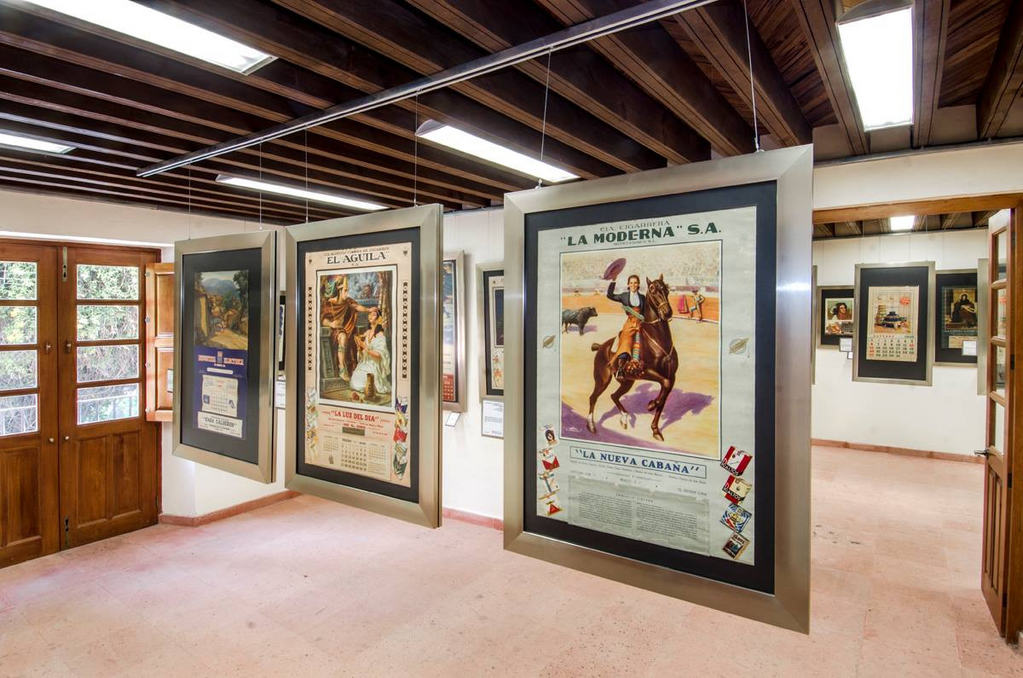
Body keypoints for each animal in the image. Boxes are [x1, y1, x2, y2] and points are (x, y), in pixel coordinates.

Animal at [586, 274, 679, 442]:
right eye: (652, 290)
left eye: (667, 290)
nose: (667, 312)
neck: (657, 341)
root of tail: (602, 346)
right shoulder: (645, 371)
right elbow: (664, 386)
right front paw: (651, 404)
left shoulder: (671, 376)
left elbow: (664, 397)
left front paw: (655, 429)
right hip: (603, 380)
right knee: (593, 397)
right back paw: (591, 426)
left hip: (627, 382)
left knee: (614, 395)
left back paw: (624, 418)